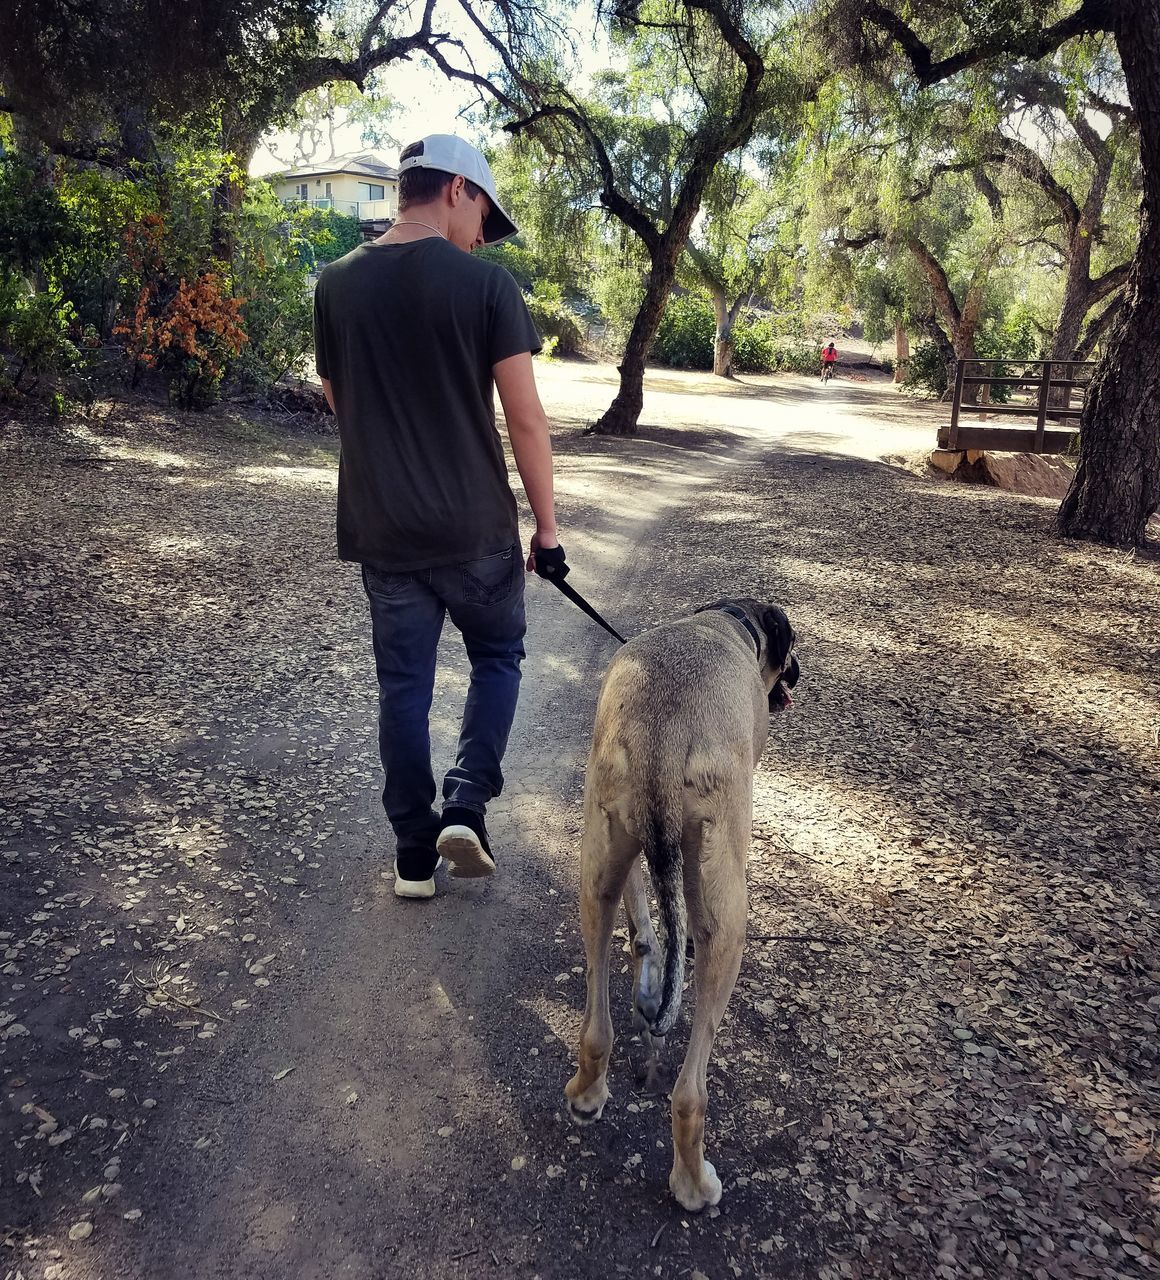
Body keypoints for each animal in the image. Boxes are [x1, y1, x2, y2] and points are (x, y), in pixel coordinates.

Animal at [560, 596, 793, 1208]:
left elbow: (646, 915)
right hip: (727, 917)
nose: (796, 675)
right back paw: (693, 1182)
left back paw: (588, 1090)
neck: (732, 622)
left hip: (600, 855)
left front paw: (649, 963)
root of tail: (661, 738)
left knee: (596, 1023)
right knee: (690, 1091)